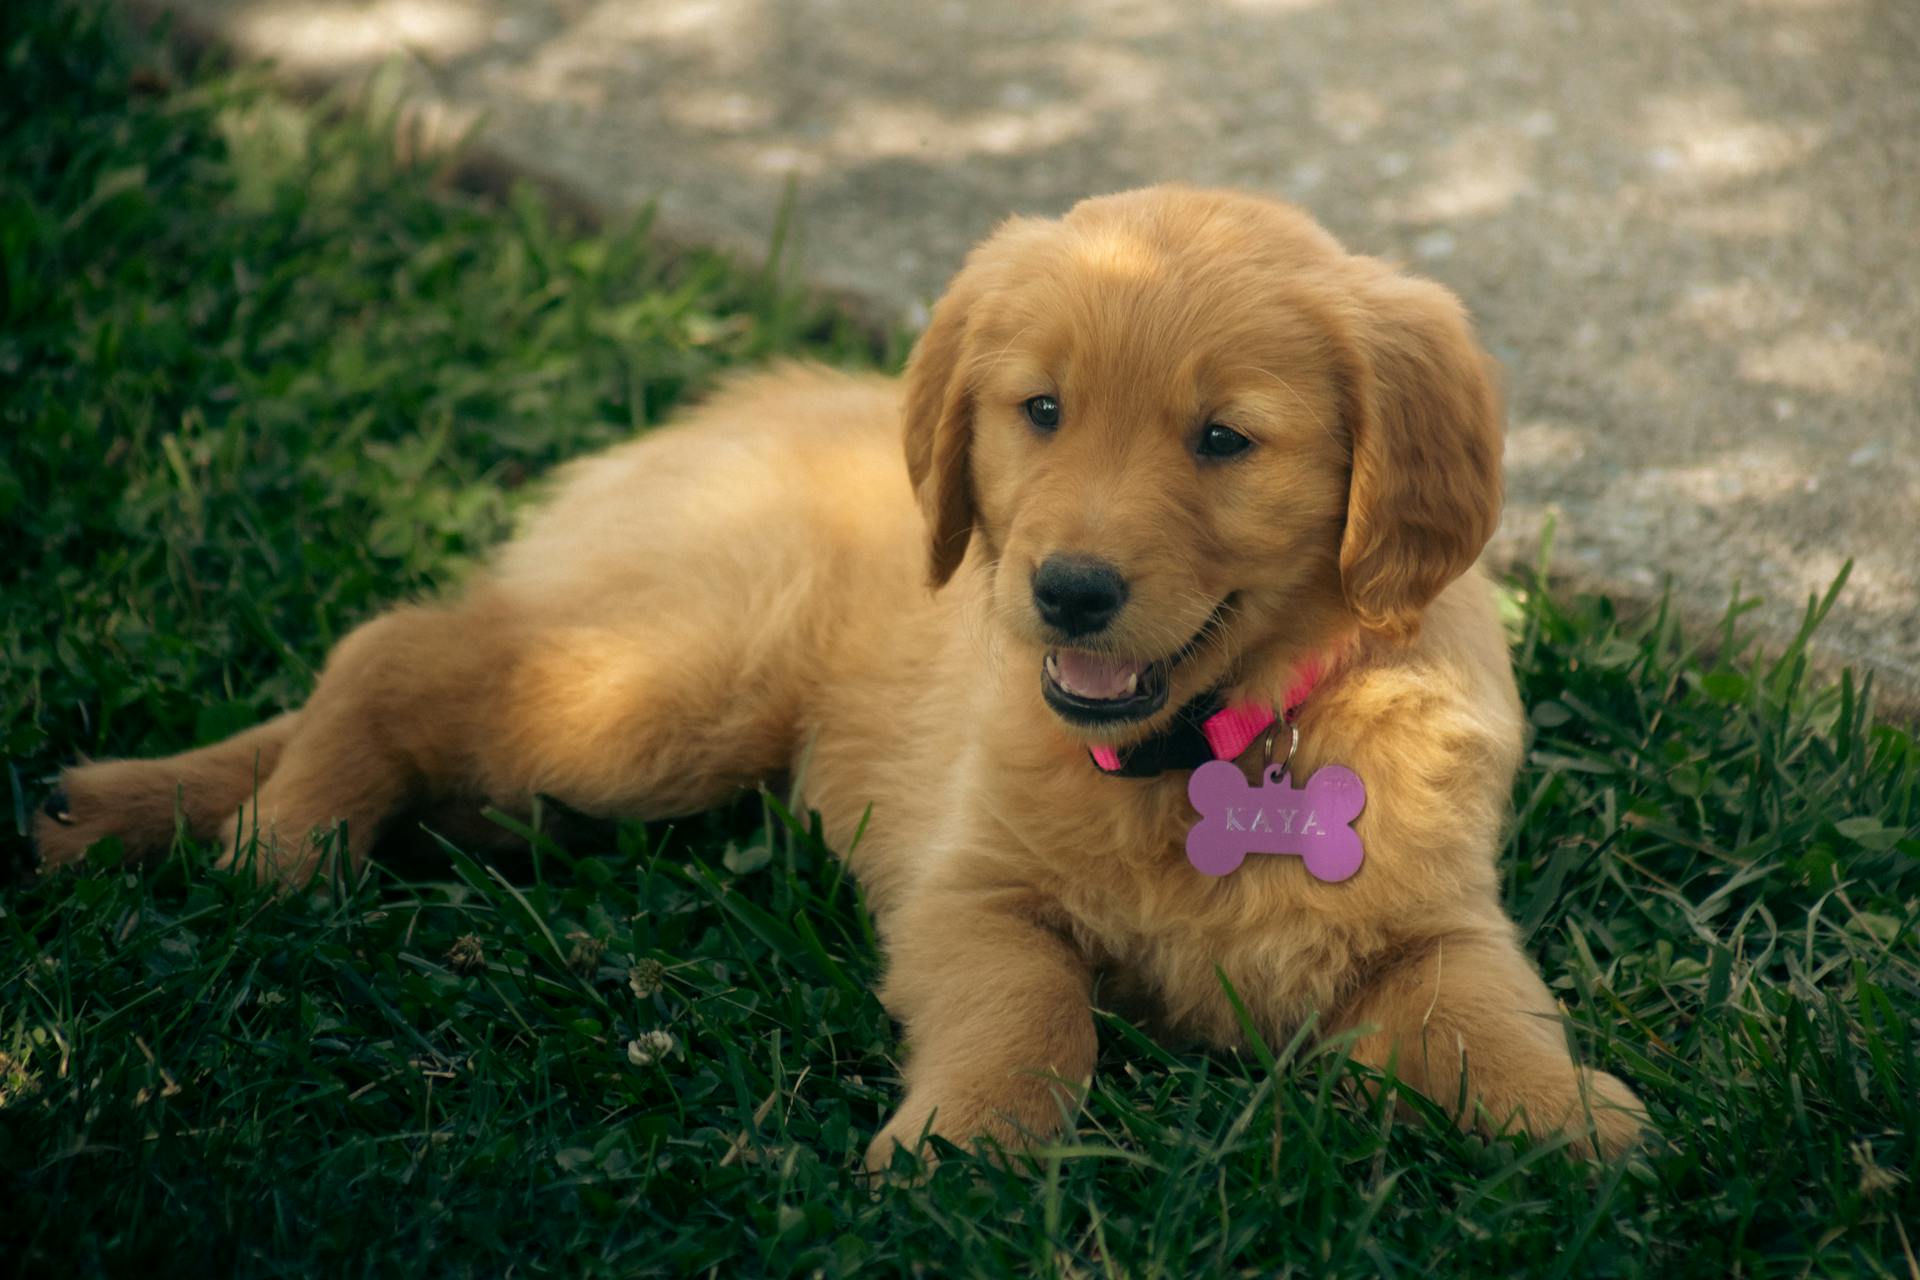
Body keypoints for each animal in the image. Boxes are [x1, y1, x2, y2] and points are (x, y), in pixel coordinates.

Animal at [37, 188, 1643, 1159]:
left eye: (1222, 440)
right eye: (1041, 411)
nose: (1067, 590)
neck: (1217, 747)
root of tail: (726, 410)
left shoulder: (1436, 924)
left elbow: (1495, 1014)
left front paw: (1583, 1128)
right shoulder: (968, 891)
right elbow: (1029, 1009)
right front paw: (974, 1147)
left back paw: (106, 810)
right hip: (662, 704)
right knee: (391, 647)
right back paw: (288, 841)